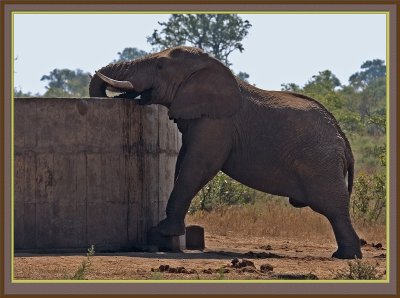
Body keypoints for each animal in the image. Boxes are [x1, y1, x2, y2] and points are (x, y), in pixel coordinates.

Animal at [90, 46, 362, 258]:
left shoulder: (217, 123)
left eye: (159, 66)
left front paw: (162, 232)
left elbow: (198, 166)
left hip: (320, 164)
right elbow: (183, 161)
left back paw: (345, 256)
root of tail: (345, 142)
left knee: (333, 207)